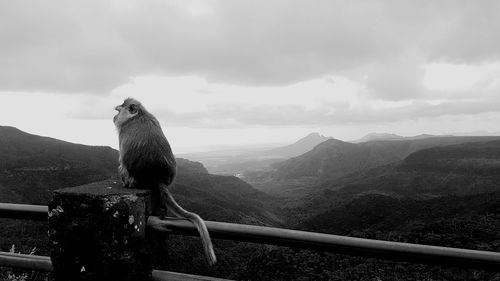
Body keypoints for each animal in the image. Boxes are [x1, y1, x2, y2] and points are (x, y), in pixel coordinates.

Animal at [113, 98, 217, 264]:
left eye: (122, 106)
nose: (116, 107)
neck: (138, 115)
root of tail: (157, 177)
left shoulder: (123, 132)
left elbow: (122, 161)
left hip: (133, 179)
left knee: (124, 168)